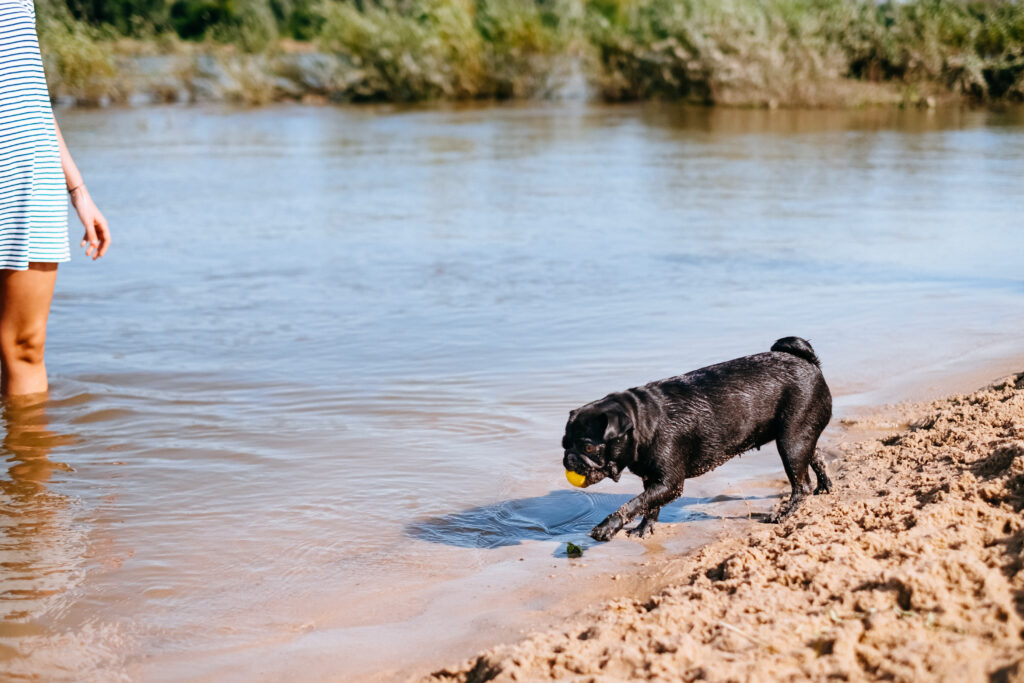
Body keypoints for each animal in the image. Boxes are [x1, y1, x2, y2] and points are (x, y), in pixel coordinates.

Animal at [561, 335, 831, 540]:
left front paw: (607, 527)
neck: (643, 421)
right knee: (817, 456)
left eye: (588, 448)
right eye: (565, 445)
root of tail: (808, 362)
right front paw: (644, 528)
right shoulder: (655, 481)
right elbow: (649, 505)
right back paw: (825, 486)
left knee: (801, 485)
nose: (569, 459)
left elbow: (633, 504)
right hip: (799, 436)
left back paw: (784, 514)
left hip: (790, 443)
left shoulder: (669, 483)